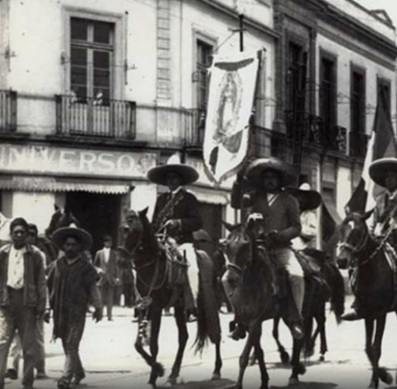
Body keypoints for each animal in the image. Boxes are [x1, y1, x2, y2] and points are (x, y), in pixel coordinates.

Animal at [117, 209, 223, 388]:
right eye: (121, 228)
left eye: (134, 230)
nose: (121, 261)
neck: (152, 265)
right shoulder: (143, 306)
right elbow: (138, 344)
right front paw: (158, 370)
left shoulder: (157, 308)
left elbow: (154, 344)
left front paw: (155, 375)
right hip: (180, 307)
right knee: (183, 337)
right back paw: (173, 375)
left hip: (211, 301)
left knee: (215, 331)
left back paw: (216, 370)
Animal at [336, 212, 394, 388]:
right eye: (339, 229)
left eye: (359, 232)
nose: (341, 261)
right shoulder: (367, 313)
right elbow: (369, 348)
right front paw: (381, 377)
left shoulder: (381, 313)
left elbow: (376, 348)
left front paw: (381, 379)